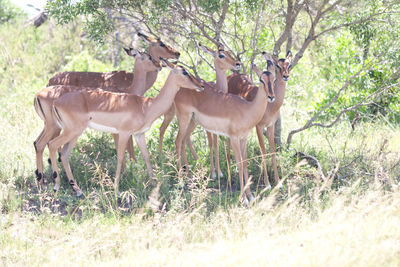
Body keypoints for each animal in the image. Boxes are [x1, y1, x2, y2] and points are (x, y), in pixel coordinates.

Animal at [34, 48, 162, 191]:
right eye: (149, 57)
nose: (160, 65)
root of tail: (38, 94)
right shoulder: (119, 131)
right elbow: (123, 151)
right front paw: (125, 175)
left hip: (50, 126)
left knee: (38, 143)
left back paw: (42, 180)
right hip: (55, 127)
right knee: (46, 145)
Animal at [46, 62, 203, 197]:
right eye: (184, 72)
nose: (200, 84)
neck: (146, 106)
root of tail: (56, 102)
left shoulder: (139, 134)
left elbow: (146, 156)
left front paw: (153, 182)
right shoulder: (124, 133)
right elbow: (121, 157)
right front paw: (116, 189)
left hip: (75, 134)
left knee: (64, 154)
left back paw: (77, 190)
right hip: (72, 131)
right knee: (52, 145)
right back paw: (56, 186)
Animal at [159, 43, 241, 180]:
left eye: (229, 53)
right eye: (221, 55)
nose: (238, 63)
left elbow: (217, 143)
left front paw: (218, 171)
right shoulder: (208, 127)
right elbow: (212, 143)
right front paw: (214, 173)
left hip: (190, 120)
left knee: (183, 138)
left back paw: (190, 169)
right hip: (181, 117)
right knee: (174, 137)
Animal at [177, 55, 276, 205]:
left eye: (274, 79)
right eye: (261, 79)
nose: (271, 96)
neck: (247, 109)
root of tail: (180, 89)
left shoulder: (244, 138)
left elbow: (245, 163)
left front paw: (251, 196)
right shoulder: (234, 138)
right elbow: (239, 164)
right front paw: (243, 199)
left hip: (192, 121)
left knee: (183, 141)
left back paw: (189, 177)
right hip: (183, 119)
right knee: (177, 141)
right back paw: (181, 181)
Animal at [228, 50, 294, 188]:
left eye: (289, 64)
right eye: (278, 65)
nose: (285, 76)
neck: (271, 106)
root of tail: (231, 76)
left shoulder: (270, 125)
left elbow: (272, 150)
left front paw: (278, 182)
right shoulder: (259, 127)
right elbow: (263, 151)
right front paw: (268, 184)